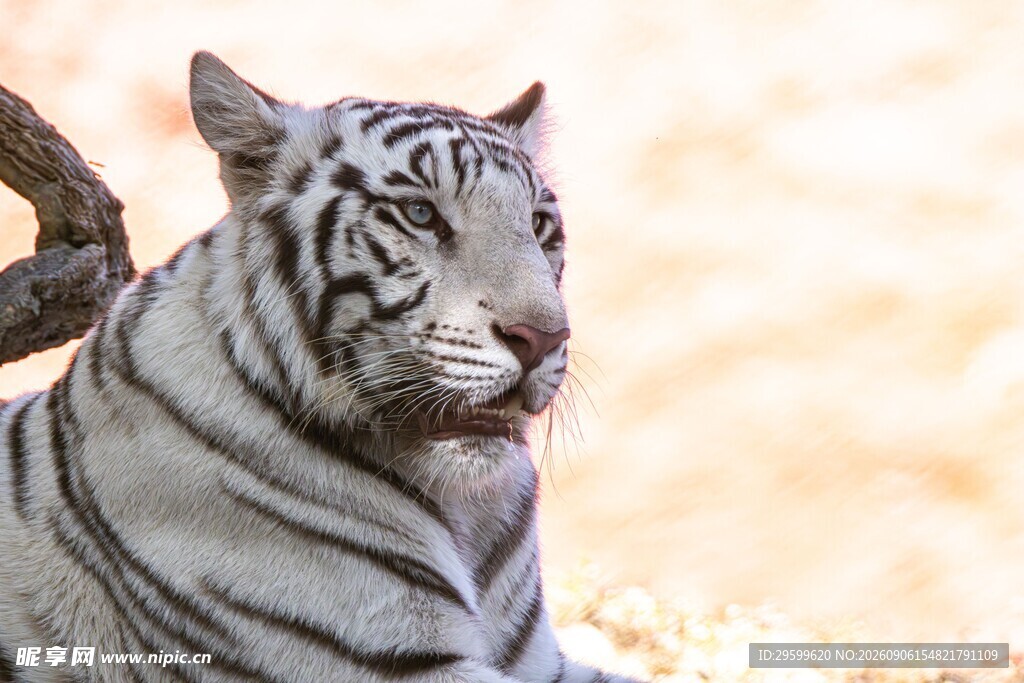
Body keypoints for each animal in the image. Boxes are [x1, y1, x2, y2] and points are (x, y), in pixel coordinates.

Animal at [0, 52, 641, 682]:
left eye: (537, 224)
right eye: (419, 213)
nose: (543, 338)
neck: (465, 511)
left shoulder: (539, 661)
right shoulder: (381, 655)